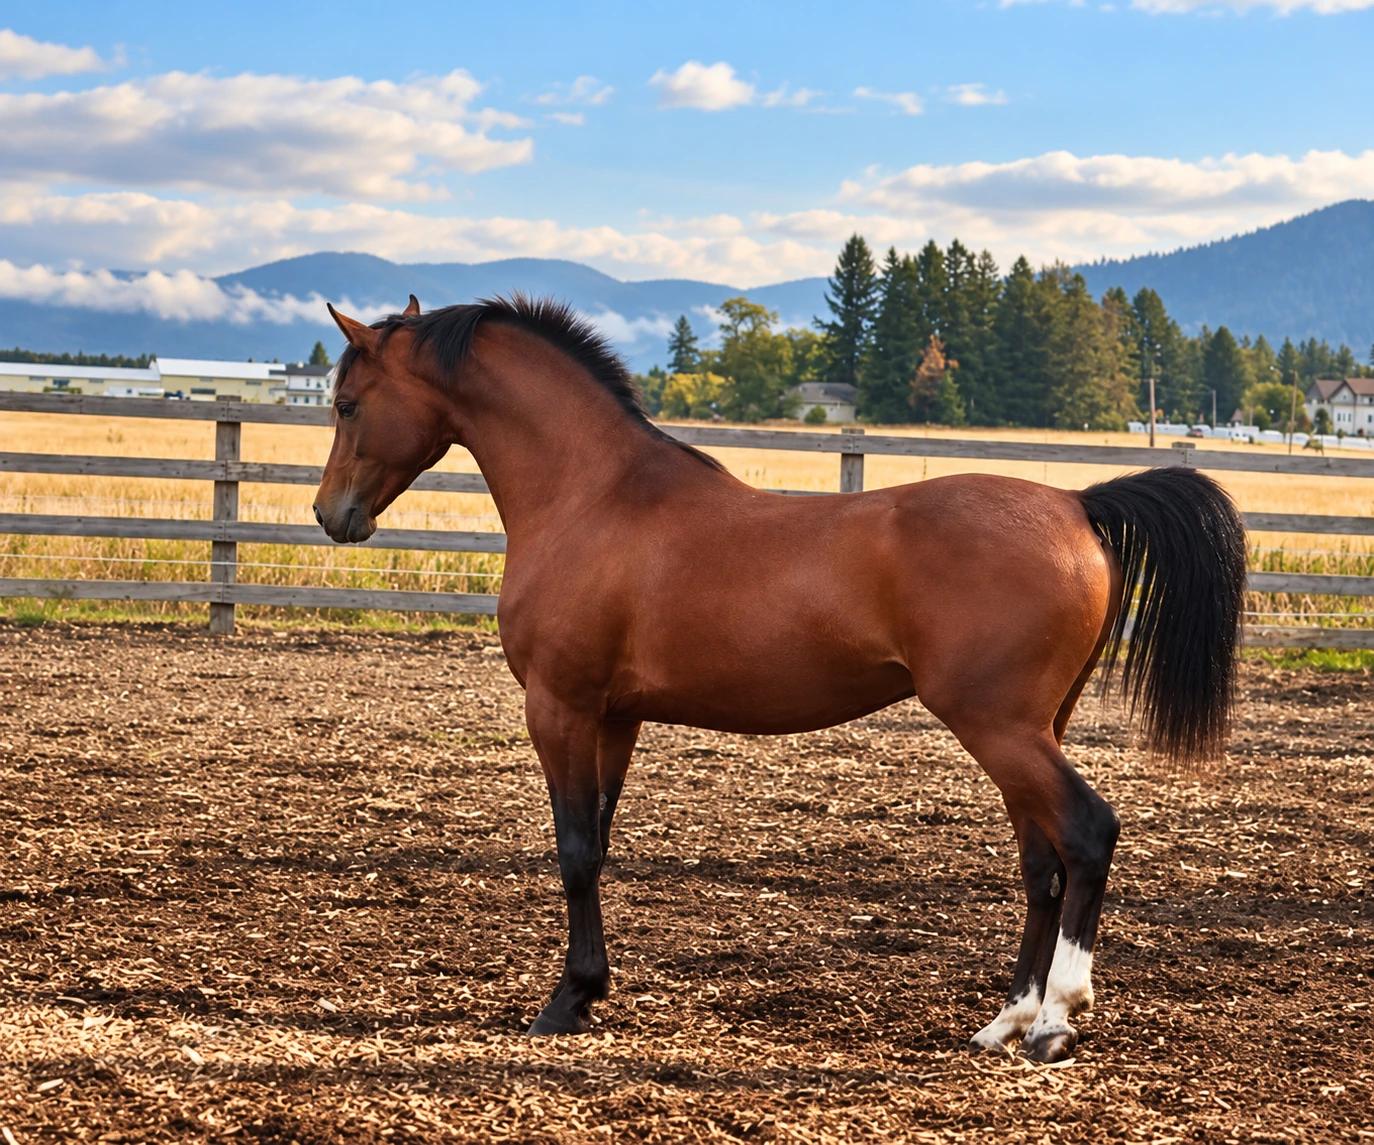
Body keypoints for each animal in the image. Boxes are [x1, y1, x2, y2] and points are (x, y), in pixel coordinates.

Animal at [313, 294, 1248, 1062]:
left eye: (347, 402)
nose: (331, 515)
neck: (596, 497)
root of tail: (1075, 506)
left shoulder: (561, 707)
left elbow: (574, 850)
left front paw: (565, 1001)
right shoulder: (615, 717)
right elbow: (600, 844)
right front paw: (589, 989)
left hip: (1000, 726)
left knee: (1087, 833)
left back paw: (1055, 1020)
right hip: (1034, 728)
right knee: (1041, 862)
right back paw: (1003, 1021)